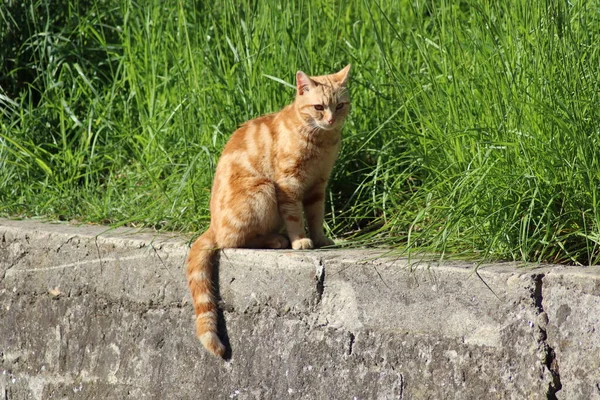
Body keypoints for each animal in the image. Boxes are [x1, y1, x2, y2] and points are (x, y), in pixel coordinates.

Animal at [185, 65, 350, 356]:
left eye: (339, 105)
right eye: (319, 107)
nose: (331, 120)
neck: (320, 140)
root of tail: (211, 225)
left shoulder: (318, 187)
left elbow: (316, 217)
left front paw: (320, 239)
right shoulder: (288, 184)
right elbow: (295, 218)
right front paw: (301, 241)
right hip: (263, 190)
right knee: (232, 241)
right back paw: (276, 240)